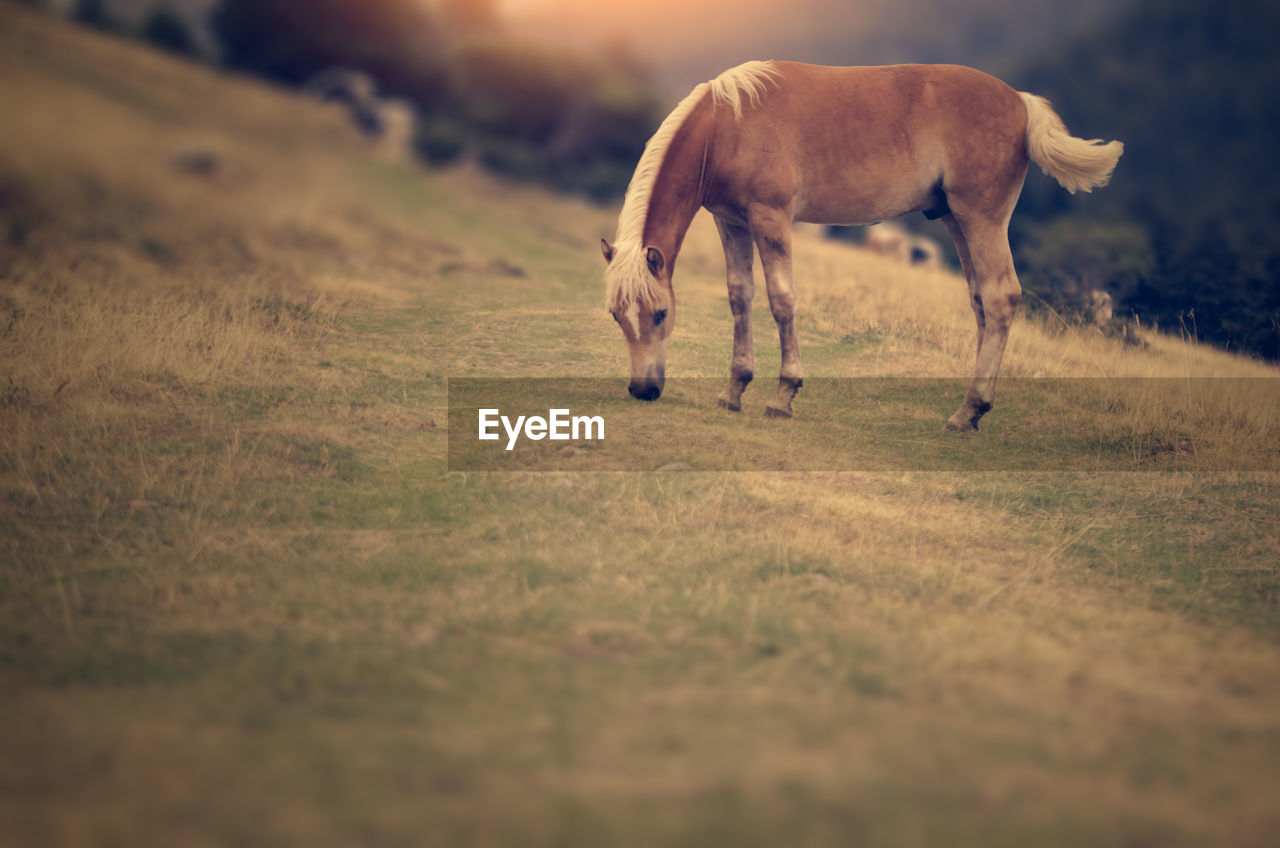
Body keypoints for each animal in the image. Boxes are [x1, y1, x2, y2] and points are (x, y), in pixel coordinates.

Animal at [599, 61, 1121, 432]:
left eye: (660, 314)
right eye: (616, 316)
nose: (643, 390)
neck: (729, 124)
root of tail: (1020, 101)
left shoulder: (770, 219)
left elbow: (782, 301)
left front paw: (784, 394)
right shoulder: (731, 223)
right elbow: (740, 298)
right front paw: (734, 391)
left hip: (982, 218)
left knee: (1000, 297)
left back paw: (969, 409)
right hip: (957, 221)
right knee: (981, 303)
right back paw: (973, 411)